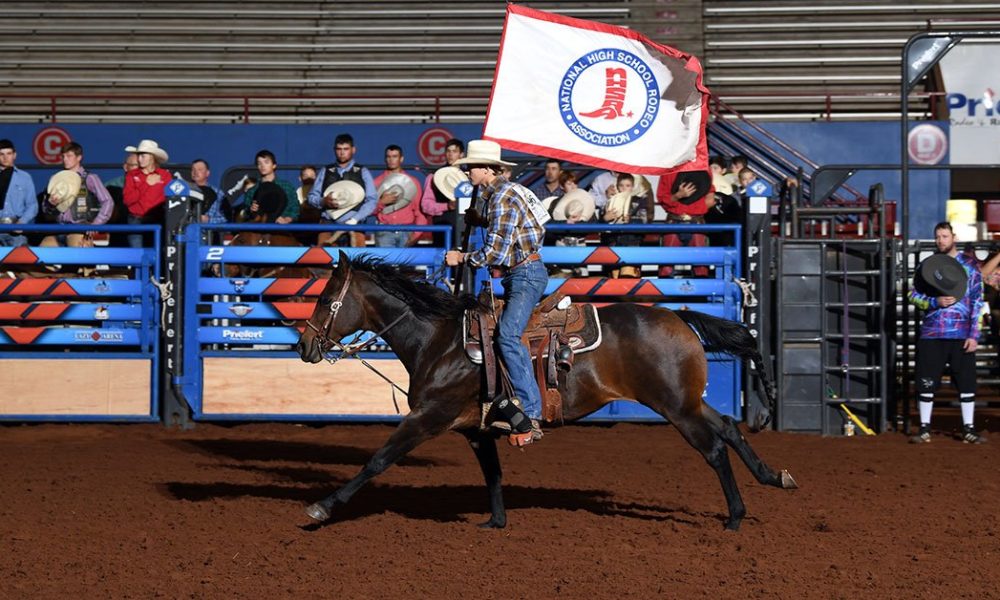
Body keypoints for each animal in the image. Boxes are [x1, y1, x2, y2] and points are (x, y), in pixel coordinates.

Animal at [294, 252, 796, 528]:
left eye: (325, 299)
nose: (303, 345)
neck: (439, 339)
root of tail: (678, 316)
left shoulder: (427, 418)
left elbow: (377, 460)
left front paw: (321, 508)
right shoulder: (477, 430)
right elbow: (493, 475)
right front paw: (495, 522)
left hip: (676, 407)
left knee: (714, 448)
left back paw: (735, 517)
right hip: (687, 401)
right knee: (729, 426)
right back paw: (774, 478)